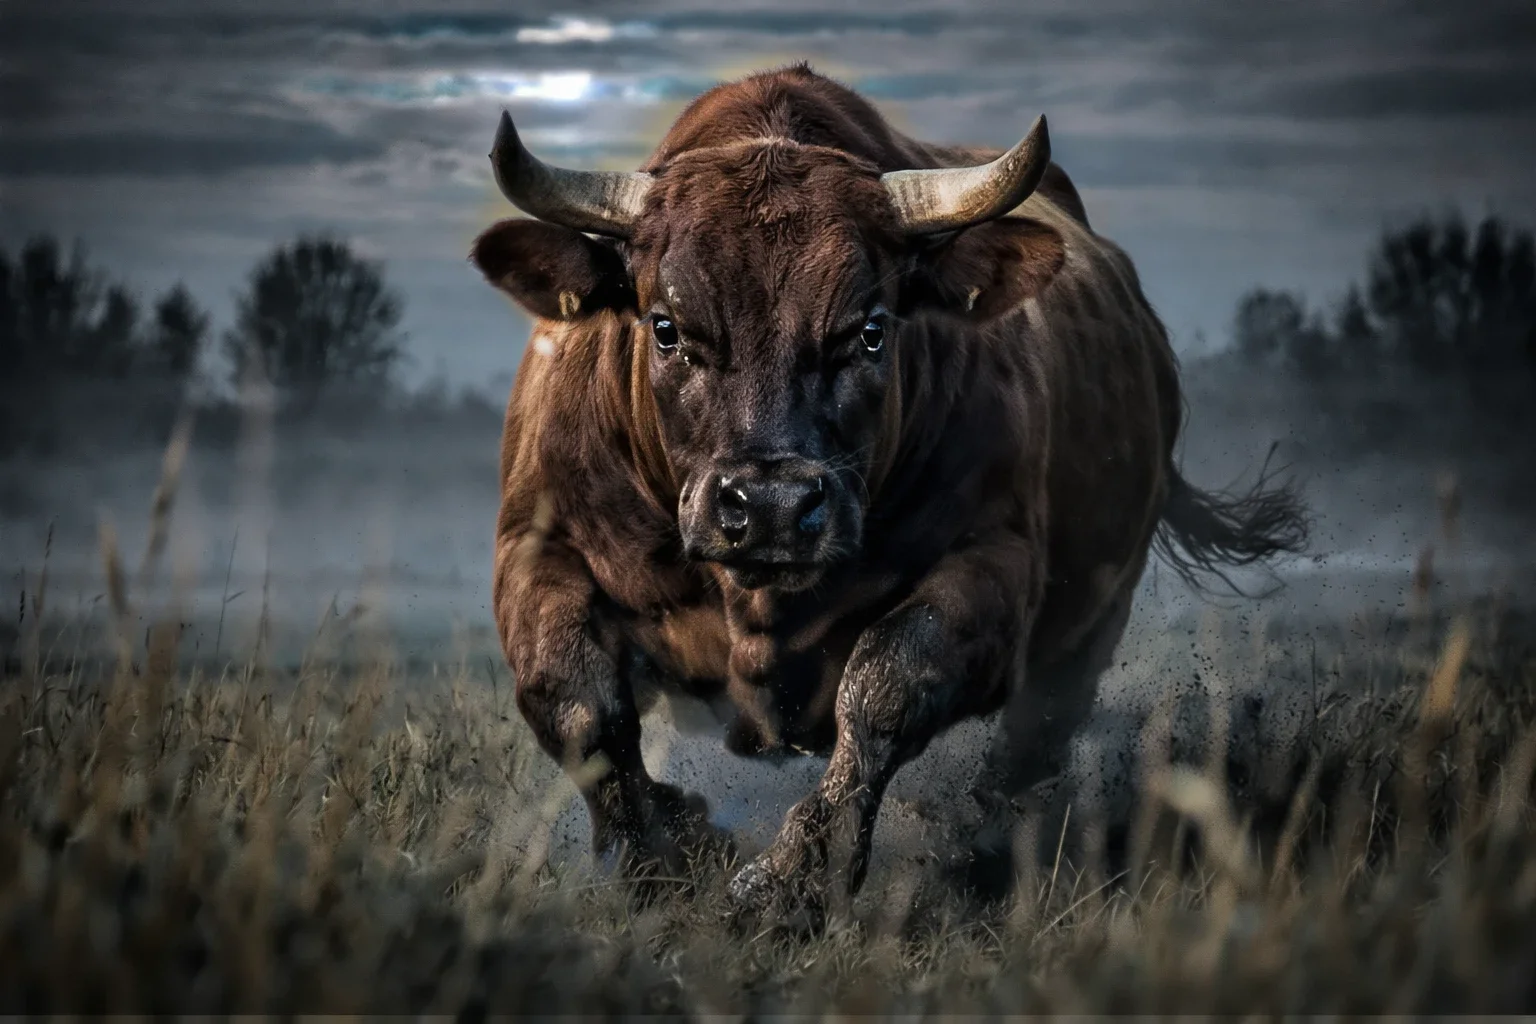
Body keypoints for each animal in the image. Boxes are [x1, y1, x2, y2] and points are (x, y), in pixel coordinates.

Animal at [469, 64, 1306, 930]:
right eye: (667, 328)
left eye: (870, 331)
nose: (771, 508)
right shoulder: (538, 545)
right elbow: (577, 700)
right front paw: (664, 853)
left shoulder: (994, 564)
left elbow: (884, 684)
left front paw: (792, 880)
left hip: (1091, 624)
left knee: (1031, 744)